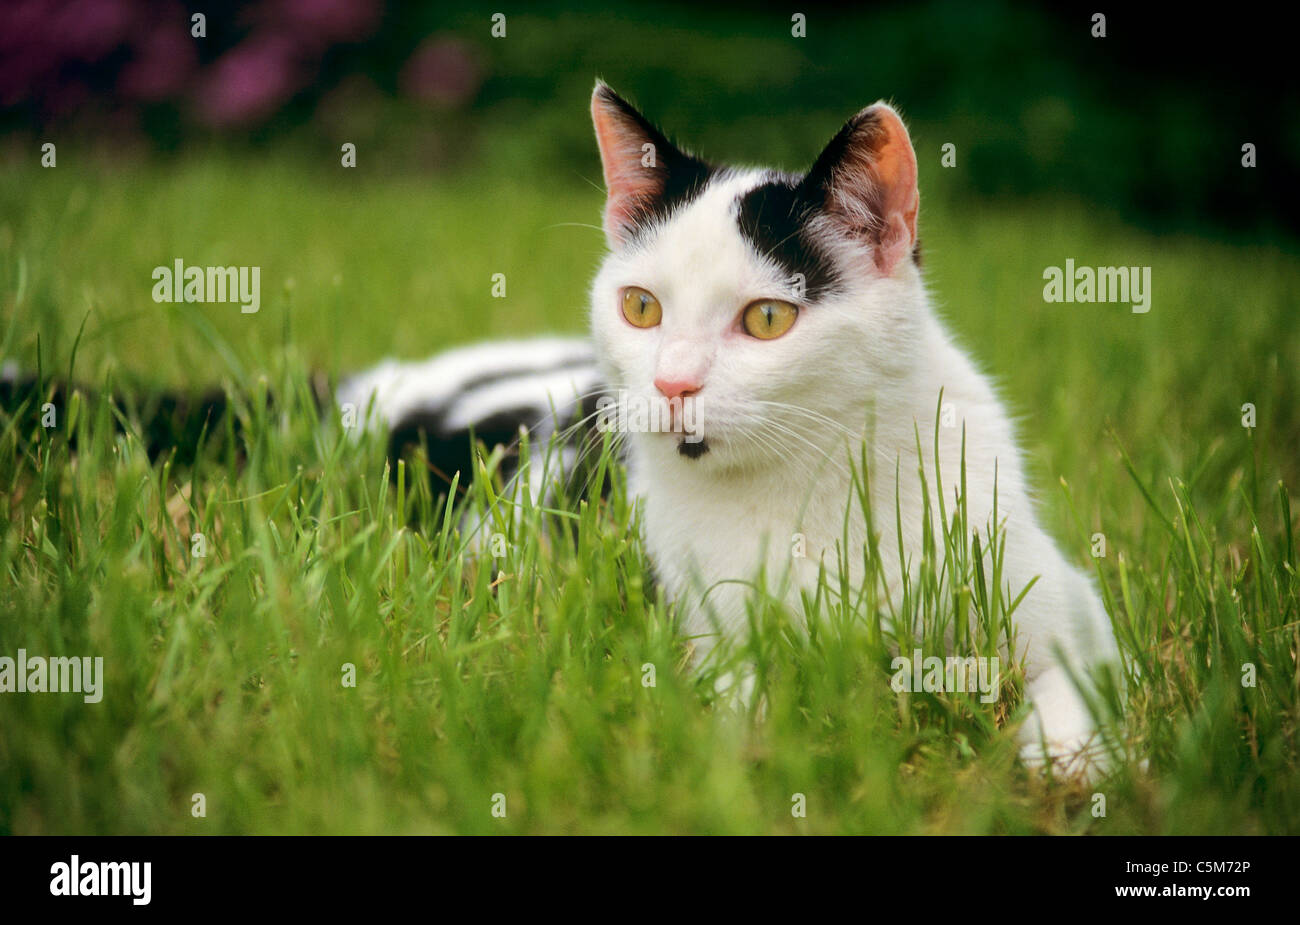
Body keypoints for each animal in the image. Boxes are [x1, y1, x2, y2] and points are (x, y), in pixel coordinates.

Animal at [343, 81, 1118, 774]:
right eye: (641, 307)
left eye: (768, 318)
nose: (672, 383)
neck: (816, 478)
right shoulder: (705, 627)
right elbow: (736, 703)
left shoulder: (1062, 597)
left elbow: (1076, 679)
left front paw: (1072, 759)